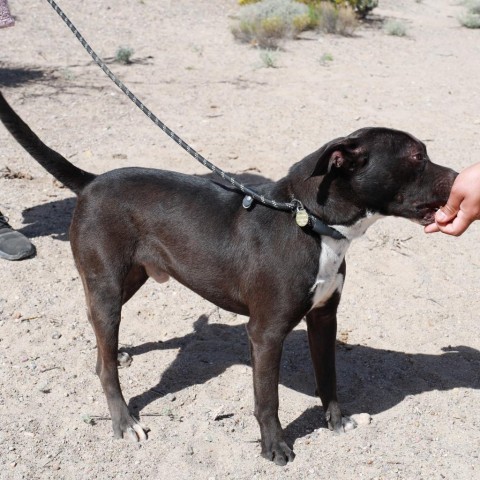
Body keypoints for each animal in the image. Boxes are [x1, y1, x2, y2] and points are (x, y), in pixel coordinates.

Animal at [0, 93, 456, 464]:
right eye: (417, 157)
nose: (457, 179)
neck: (310, 223)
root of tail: (92, 182)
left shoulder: (325, 318)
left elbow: (329, 377)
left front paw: (336, 422)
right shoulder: (265, 333)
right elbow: (267, 399)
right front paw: (274, 447)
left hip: (130, 279)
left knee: (100, 342)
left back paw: (113, 355)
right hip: (108, 284)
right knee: (107, 364)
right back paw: (124, 420)